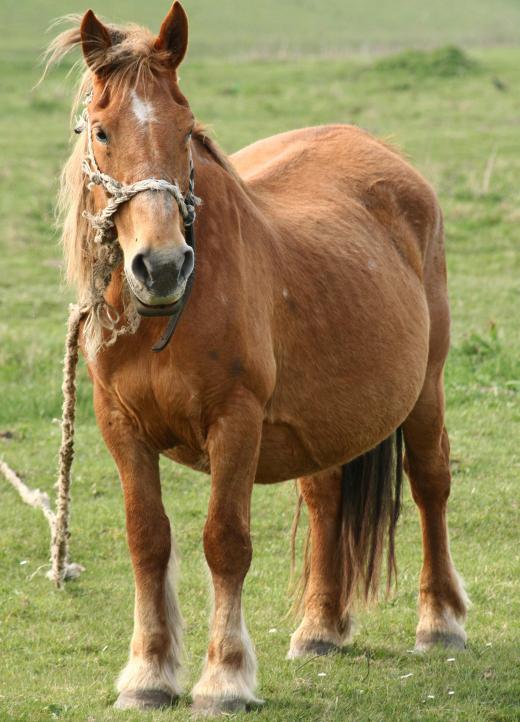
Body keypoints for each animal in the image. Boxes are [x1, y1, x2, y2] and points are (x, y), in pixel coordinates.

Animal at [46, 2, 470, 712]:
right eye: (101, 133)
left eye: (186, 131)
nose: (163, 265)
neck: (166, 315)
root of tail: (385, 156)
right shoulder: (119, 425)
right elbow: (146, 540)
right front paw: (149, 673)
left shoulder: (235, 421)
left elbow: (225, 541)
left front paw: (225, 678)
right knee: (326, 497)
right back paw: (321, 628)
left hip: (426, 390)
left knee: (430, 483)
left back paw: (439, 622)